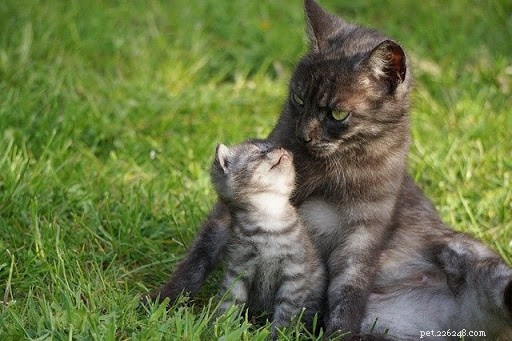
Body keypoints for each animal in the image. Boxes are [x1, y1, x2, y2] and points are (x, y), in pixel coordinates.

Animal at [211, 139, 324, 334]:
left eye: (270, 146)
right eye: (259, 152)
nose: (281, 147)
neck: (270, 219)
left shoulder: (294, 273)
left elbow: (286, 311)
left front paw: (279, 334)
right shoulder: (239, 266)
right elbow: (230, 299)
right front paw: (221, 327)